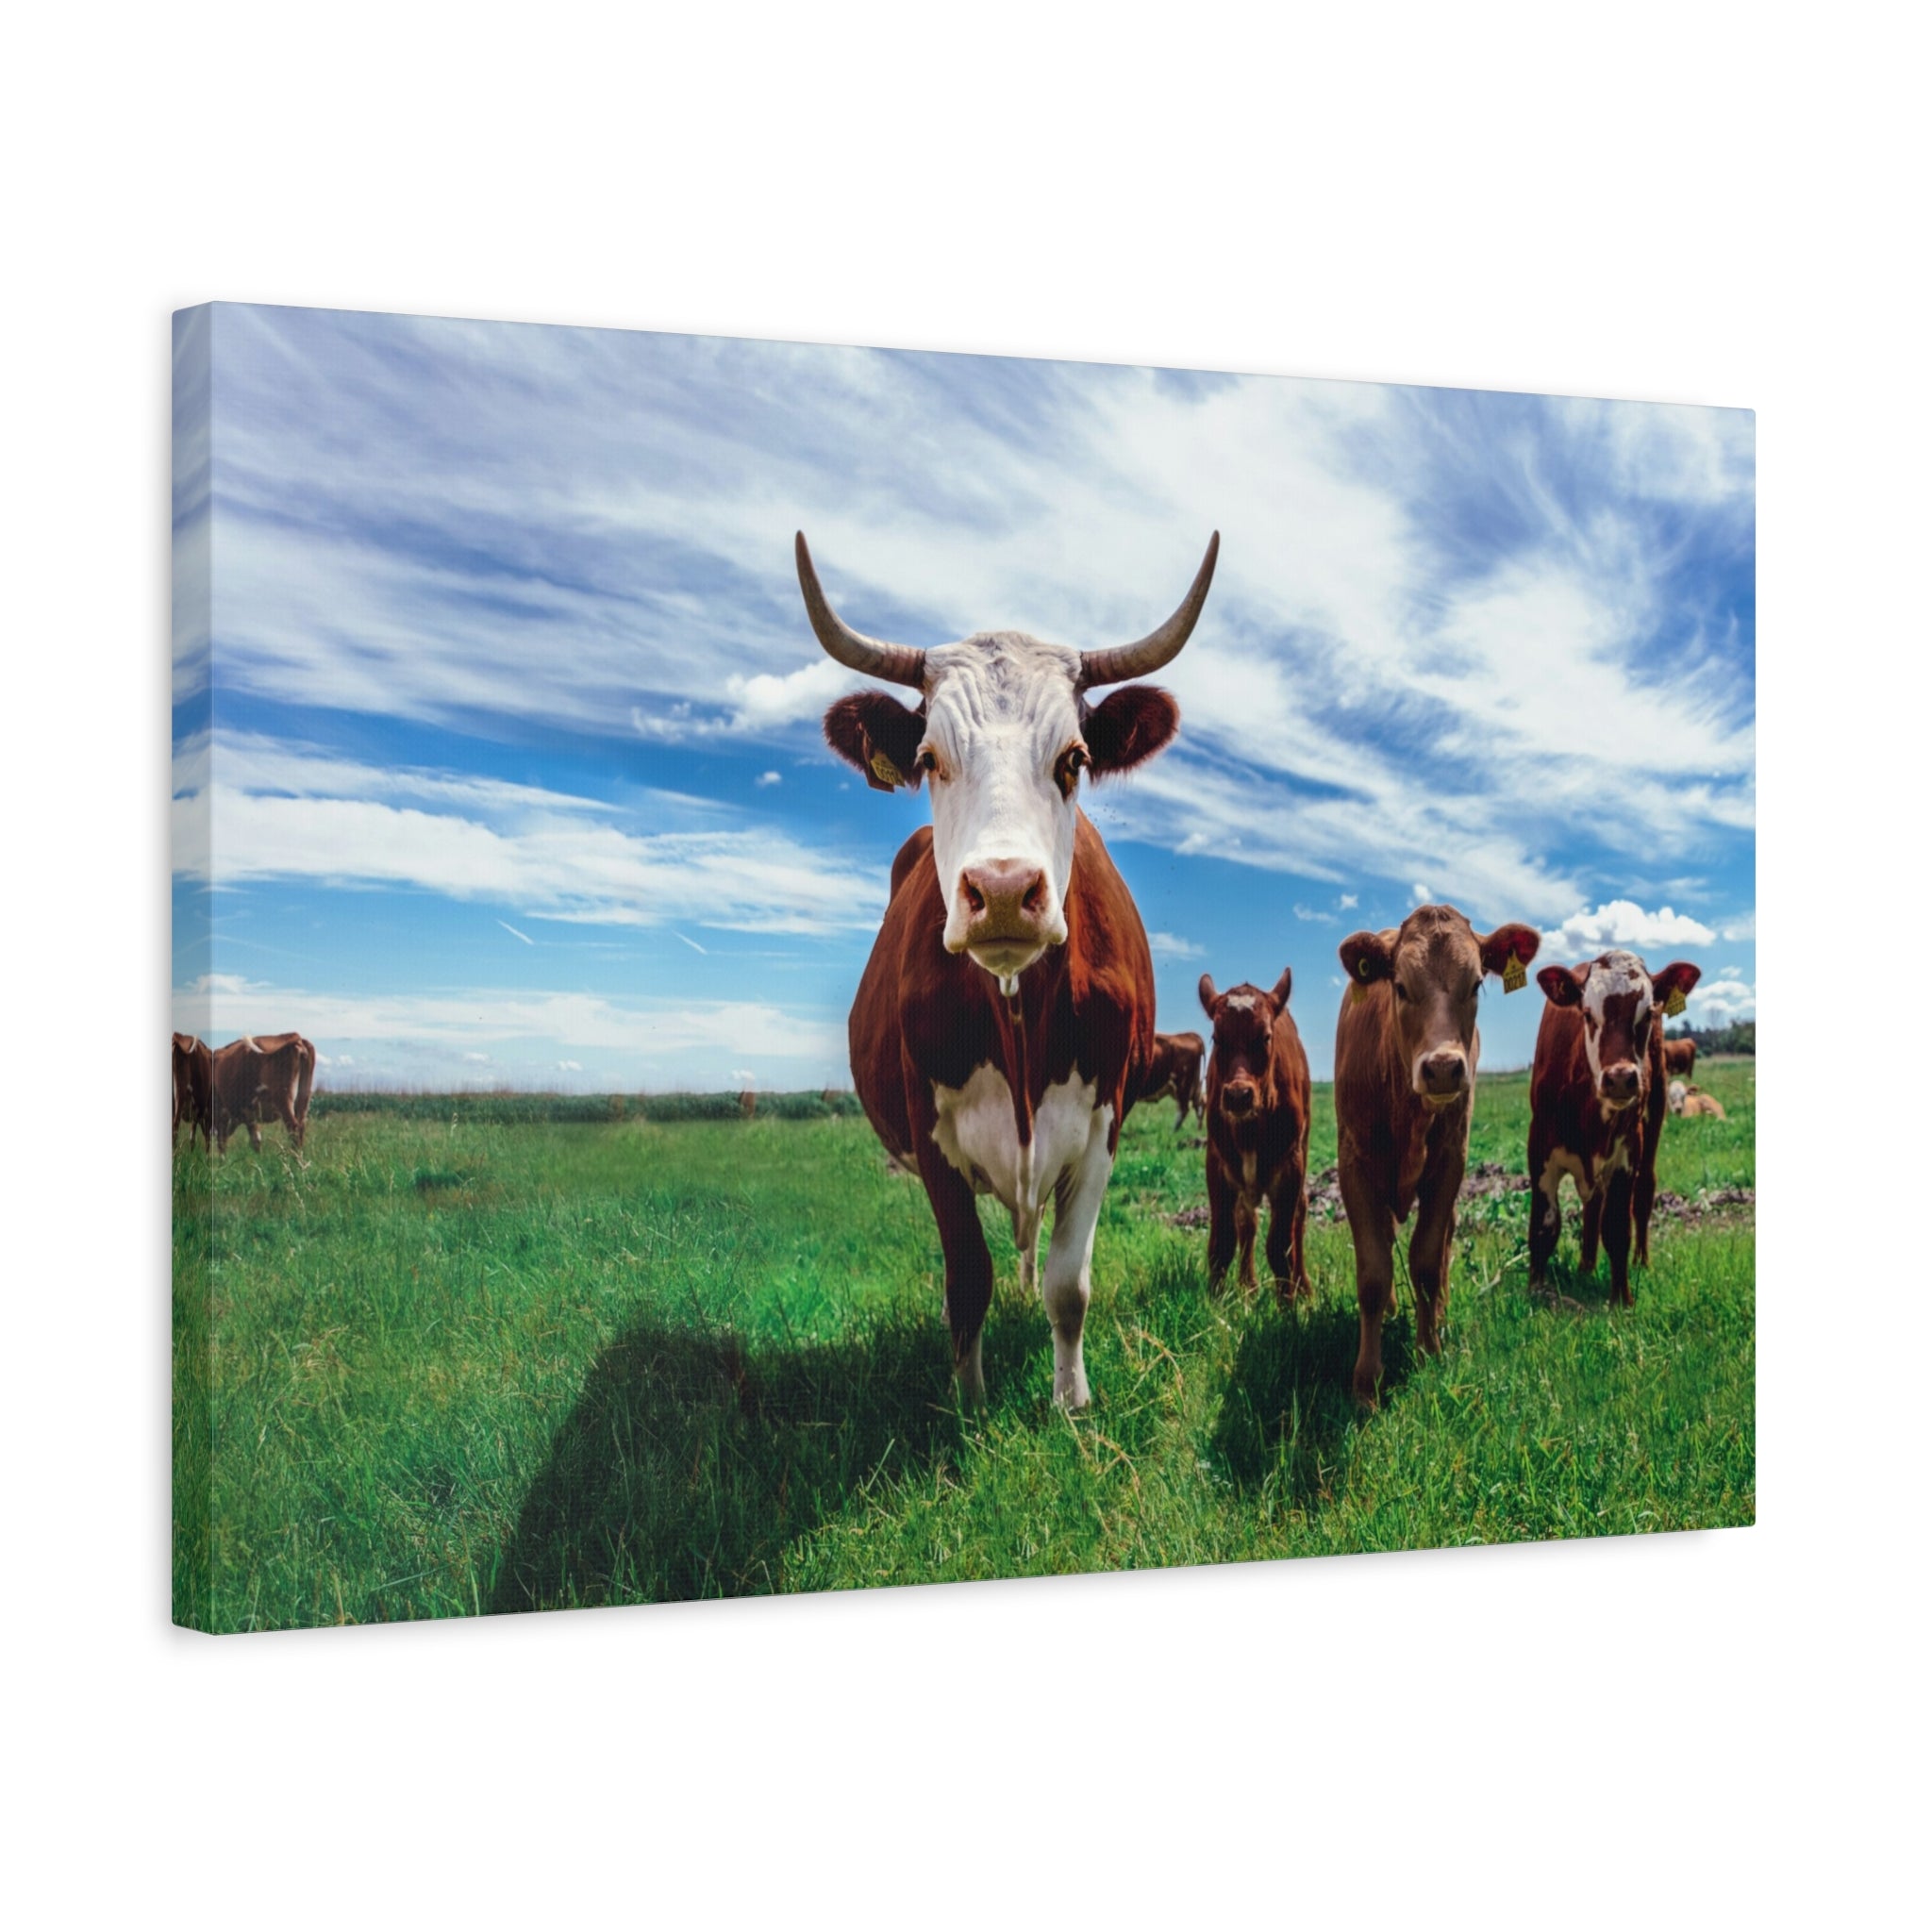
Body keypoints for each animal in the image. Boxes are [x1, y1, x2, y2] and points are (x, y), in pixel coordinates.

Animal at [210, 1032, 317, 1153]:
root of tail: (296, 1037)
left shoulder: (223, 1112)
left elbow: (223, 1141)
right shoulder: (248, 1114)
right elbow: (255, 1139)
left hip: (283, 1099)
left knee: (293, 1127)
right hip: (304, 1098)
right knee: (301, 1126)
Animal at [804, 528, 1217, 1407]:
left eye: (1075, 758)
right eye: (929, 758)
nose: (1000, 891)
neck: (1020, 1012)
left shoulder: (1102, 1125)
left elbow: (1070, 1282)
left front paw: (1070, 1399)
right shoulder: (930, 1136)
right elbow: (968, 1279)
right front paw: (970, 1400)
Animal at [1198, 970, 1311, 1302]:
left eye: (1265, 1037)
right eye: (1217, 1038)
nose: (1238, 1095)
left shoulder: (1290, 1166)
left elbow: (1280, 1247)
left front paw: (1288, 1306)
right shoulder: (1217, 1164)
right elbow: (1222, 1243)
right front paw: (1217, 1302)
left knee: (1300, 1214)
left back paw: (1304, 1287)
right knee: (1247, 1221)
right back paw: (1247, 1286)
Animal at [1334, 905, 1543, 1405]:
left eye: (1476, 984)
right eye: (1400, 986)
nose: (1444, 1067)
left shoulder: (1451, 1161)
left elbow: (1427, 1260)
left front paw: (1428, 1350)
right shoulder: (1354, 1164)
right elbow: (1374, 1271)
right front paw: (1366, 1381)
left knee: (1444, 1241)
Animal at [1529, 952, 1702, 1306]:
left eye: (1647, 1013)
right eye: (1587, 1013)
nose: (1620, 1078)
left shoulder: (1627, 1152)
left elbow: (1617, 1228)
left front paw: (1622, 1297)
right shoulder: (1538, 1148)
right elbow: (1544, 1225)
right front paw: (1536, 1291)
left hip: (1656, 1111)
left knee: (1643, 1191)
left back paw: (1641, 1261)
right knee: (1592, 1205)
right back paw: (1585, 1266)